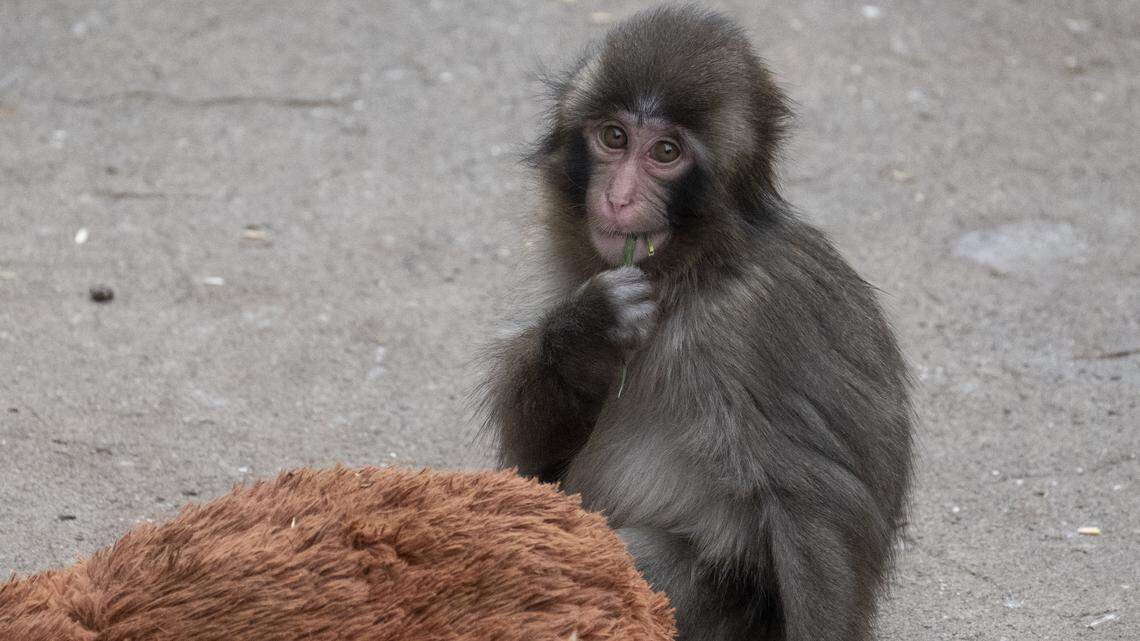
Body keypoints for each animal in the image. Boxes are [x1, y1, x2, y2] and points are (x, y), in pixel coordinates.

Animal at [481, 6, 913, 641]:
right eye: (614, 137)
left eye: (665, 152)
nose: (618, 198)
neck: (693, 273)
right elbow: (535, 469)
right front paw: (589, 332)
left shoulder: (752, 325)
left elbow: (819, 510)